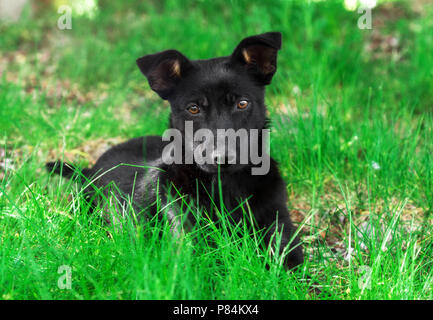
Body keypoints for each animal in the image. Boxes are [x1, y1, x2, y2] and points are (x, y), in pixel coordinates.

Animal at [48, 31, 304, 268]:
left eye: (242, 103)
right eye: (193, 109)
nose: (222, 158)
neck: (225, 187)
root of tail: (89, 170)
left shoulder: (280, 230)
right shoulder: (187, 241)